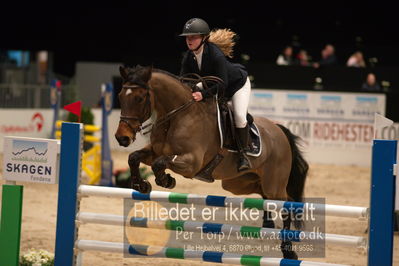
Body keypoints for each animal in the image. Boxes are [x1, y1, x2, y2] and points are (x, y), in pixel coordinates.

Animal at [115, 65, 310, 260]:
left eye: (139, 98)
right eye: (120, 97)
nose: (122, 138)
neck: (177, 115)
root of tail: (279, 130)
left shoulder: (191, 162)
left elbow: (160, 164)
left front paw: (166, 181)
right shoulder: (155, 152)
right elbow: (134, 157)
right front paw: (141, 185)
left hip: (274, 184)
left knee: (286, 204)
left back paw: (288, 251)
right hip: (238, 183)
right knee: (264, 195)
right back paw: (268, 225)